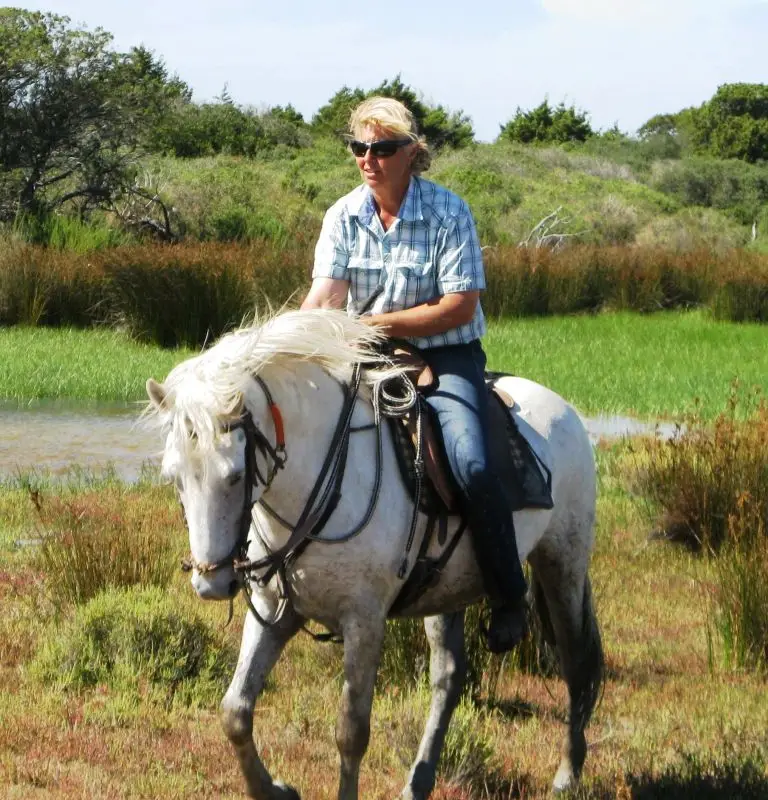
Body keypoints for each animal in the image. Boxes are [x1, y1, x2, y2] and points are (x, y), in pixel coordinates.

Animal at [145, 308, 603, 800]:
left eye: (234, 474)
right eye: (173, 476)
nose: (210, 583)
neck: (321, 478)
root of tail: (565, 411)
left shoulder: (364, 620)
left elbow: (351, 732)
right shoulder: (274, 611)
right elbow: (235, 711)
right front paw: (276, 790)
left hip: (562, 564)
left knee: (577, 663)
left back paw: (566, 775)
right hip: (448, 591)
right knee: (448, 678)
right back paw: (418, 782)